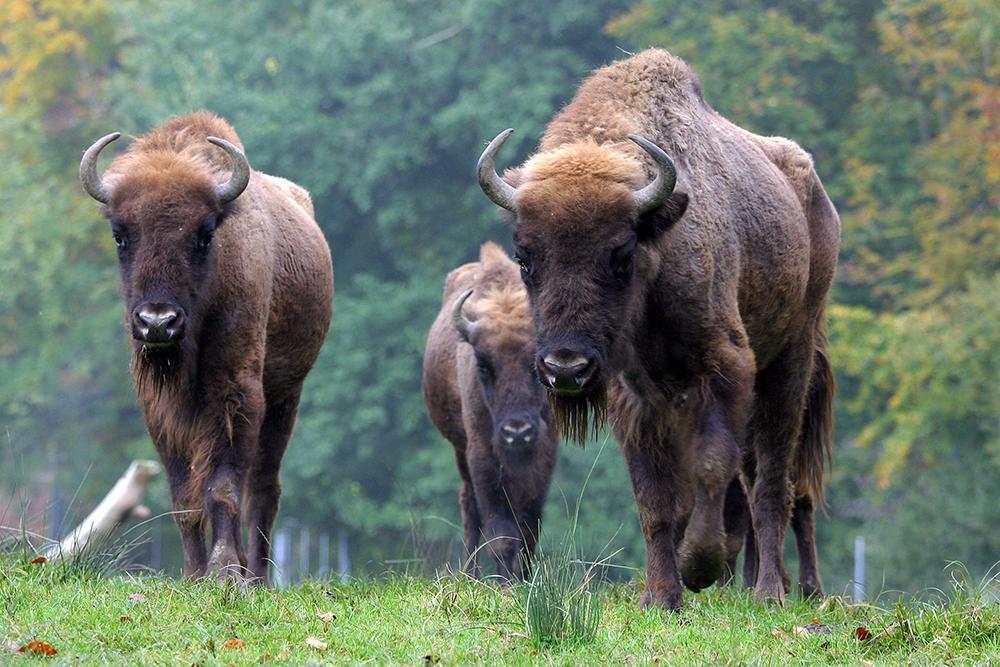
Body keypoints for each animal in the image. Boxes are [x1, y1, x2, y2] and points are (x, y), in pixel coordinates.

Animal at [80, 112, 334, 580]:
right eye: (120, 235)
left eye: (205, 234)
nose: (157, 322)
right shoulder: (159, 408)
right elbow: (184, 495)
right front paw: (194, 573)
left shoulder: (236, 392)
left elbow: (223, 486)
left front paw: (225, 570)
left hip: (286, 396)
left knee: (264, 489)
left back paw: (258, 577)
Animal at [424, 243, 564, 580]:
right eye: (483, 365)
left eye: (538, 364)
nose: (517, 432)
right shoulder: (481, 456)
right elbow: (499, 529)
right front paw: (503, 582)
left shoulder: (543, 453)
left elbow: (529, 526)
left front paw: (524, 577)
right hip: (460, 449)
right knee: (469, 507)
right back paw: (471, 574)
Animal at [476, 49, 836, 608]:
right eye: (524, 256)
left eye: (620, 253)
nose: (565, 367)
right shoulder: (636, 396)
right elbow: (655, 496)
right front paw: (661, 596)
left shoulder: (727, 368)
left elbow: (712, 466)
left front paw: (699, 568)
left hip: (790, 359)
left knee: (773, 480)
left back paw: (771, 591)